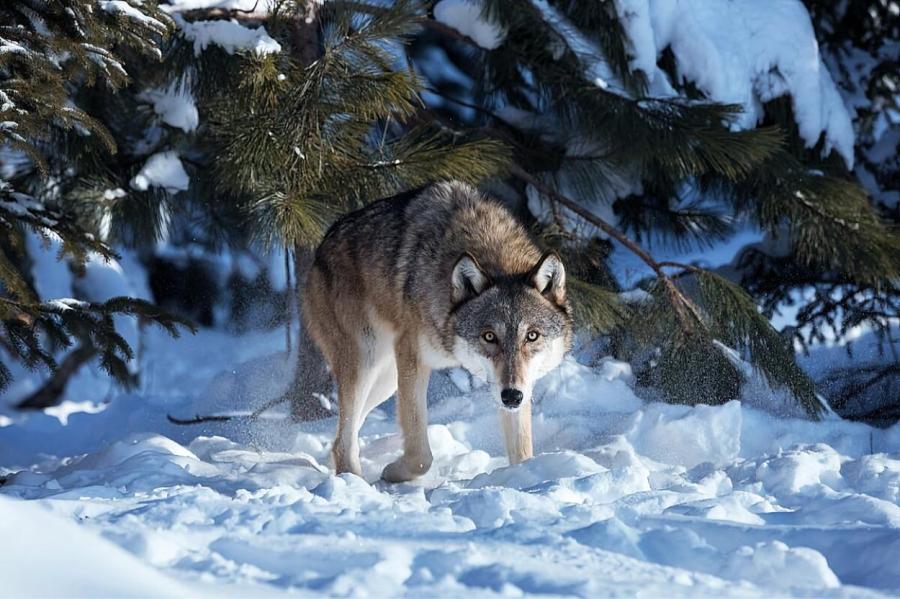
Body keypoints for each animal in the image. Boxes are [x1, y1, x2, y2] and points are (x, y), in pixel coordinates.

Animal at [302, 179, 568, 482]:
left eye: (531, 336)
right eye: (489, 336)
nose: (512, 396)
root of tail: (320, 248)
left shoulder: (520, 385)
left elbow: (522, 451)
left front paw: (522, 477)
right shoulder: (413, 359)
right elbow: (421, 455)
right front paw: (393, 472)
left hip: (386, 379)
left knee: (342, 436)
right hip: (365, 364)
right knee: (344, 438)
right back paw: (353, 481)